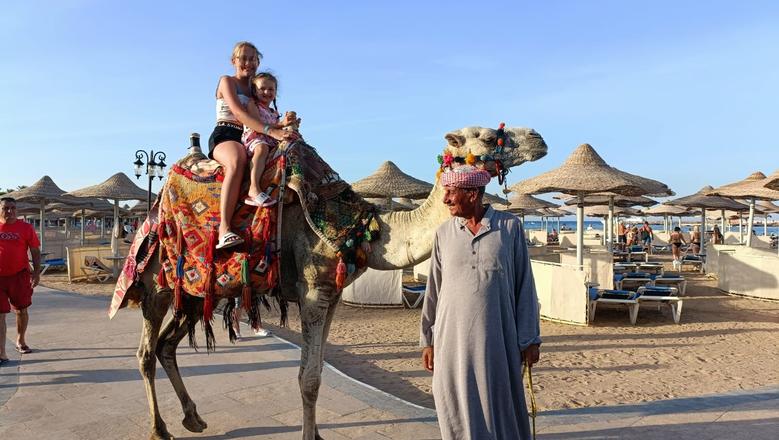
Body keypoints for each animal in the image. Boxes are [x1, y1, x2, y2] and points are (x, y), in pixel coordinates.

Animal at [131, 125, 544, 438]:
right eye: (488, 137)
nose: (538, 138)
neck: (363, 230)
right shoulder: (314, 292)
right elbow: (308, 379)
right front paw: (309, 437)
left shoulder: (330, 296)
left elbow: (316, 371)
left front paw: (315, 433)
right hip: (157, 284)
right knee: (147, 352)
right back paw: (159, 429)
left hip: (195, 293)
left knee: (167, 346)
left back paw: (193, 418)